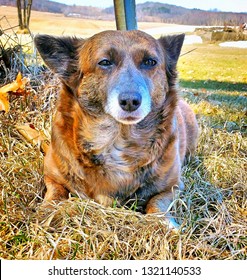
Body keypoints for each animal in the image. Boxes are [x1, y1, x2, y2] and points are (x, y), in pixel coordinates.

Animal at [34, 29, 199, 229]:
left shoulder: (173, 187)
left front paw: (165, 222)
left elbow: (157, 202)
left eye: (150, 62)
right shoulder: (51, 177)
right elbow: (55, 193)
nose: (130, 101)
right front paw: (47, 212)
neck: (117, 139)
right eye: (105, 62)